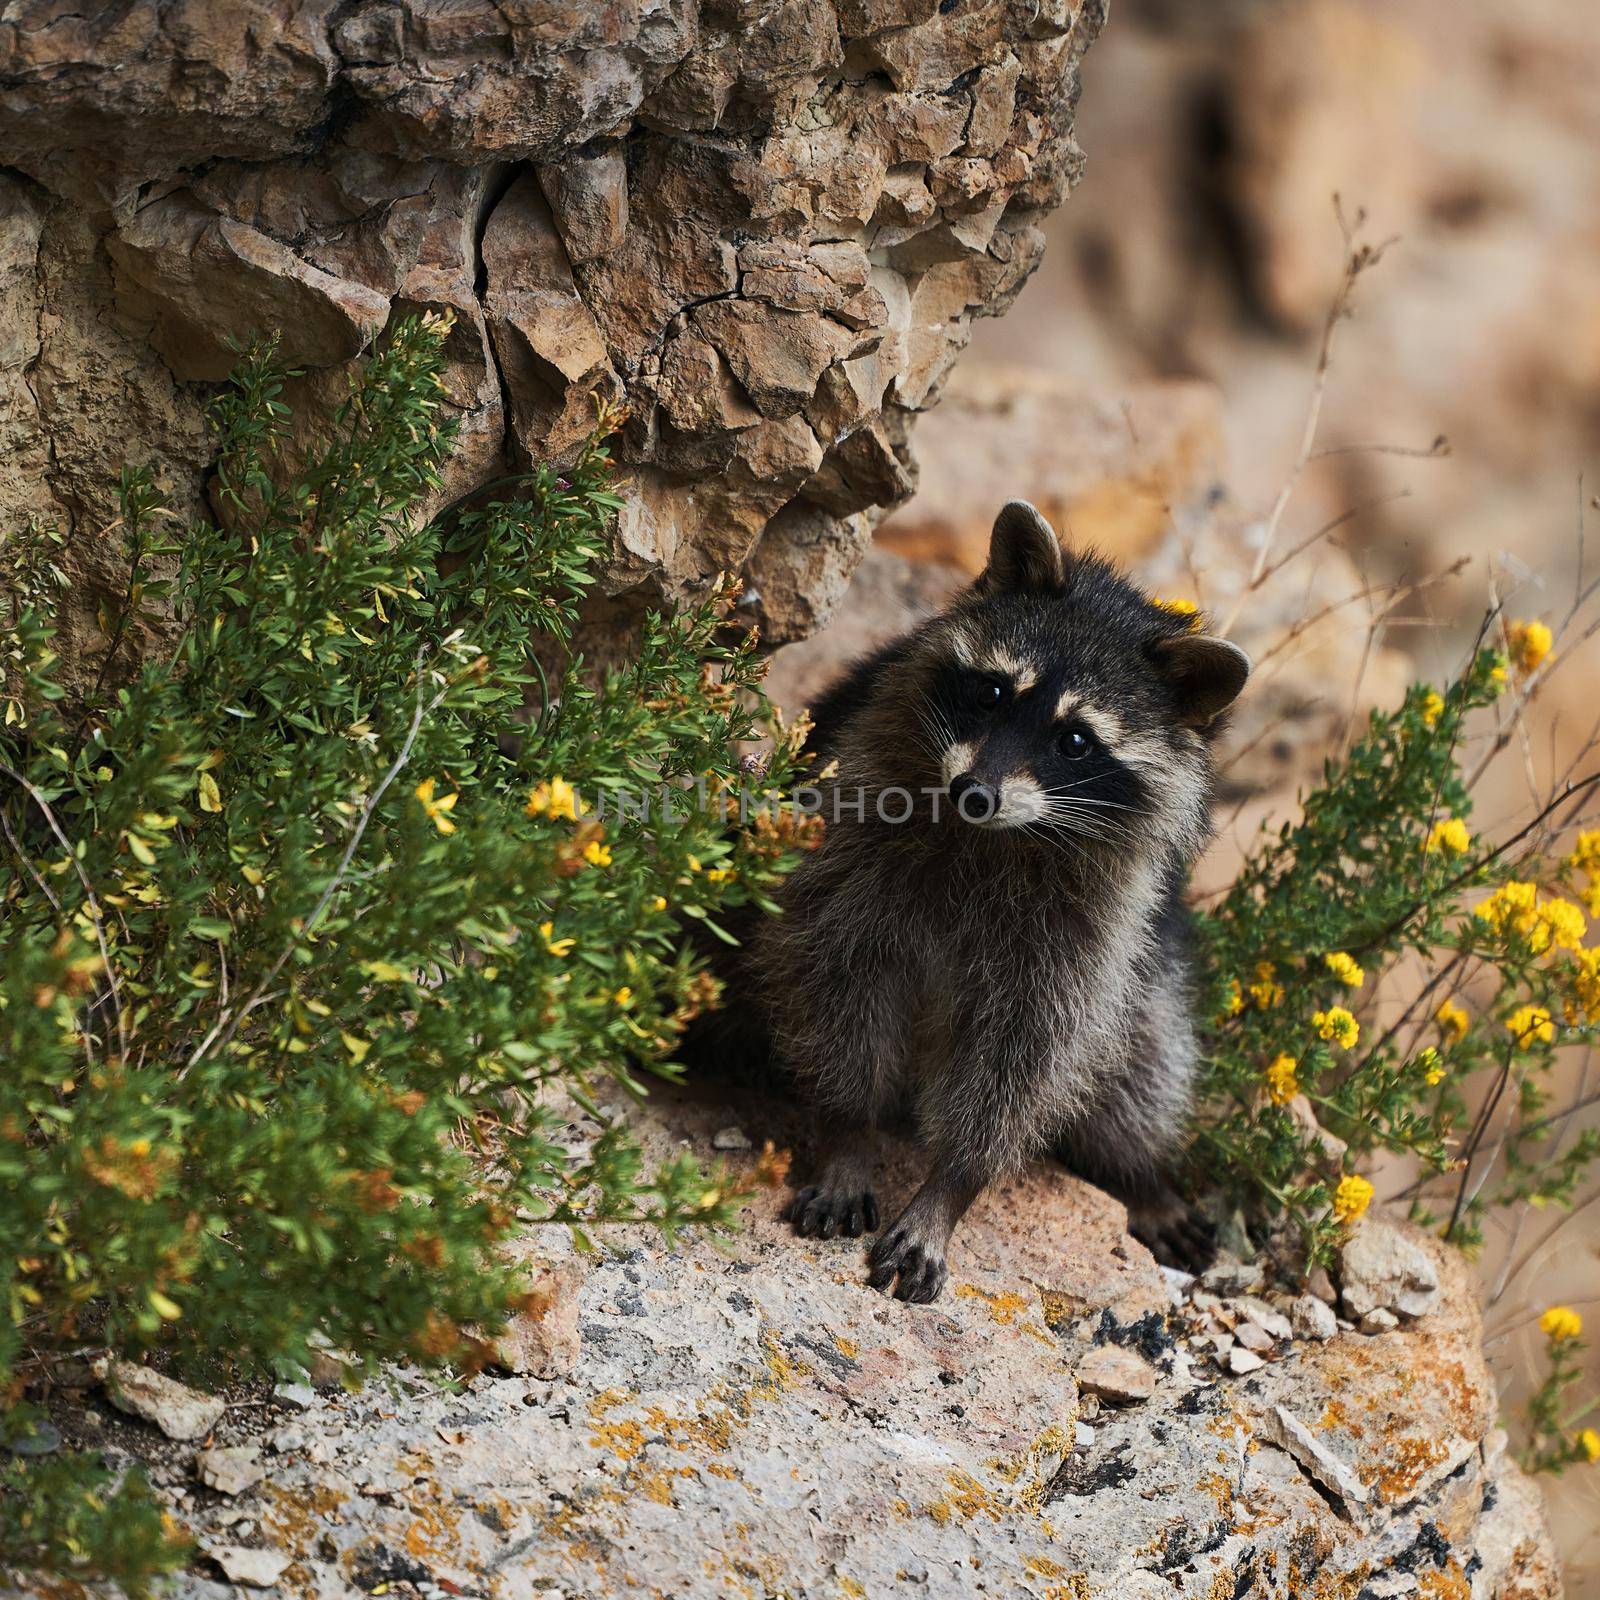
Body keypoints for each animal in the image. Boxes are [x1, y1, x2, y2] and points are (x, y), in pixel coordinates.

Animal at [758, 499, 1248, 1299]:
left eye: (1075, 741)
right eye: (991, 692)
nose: (974, 792)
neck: (998, 835)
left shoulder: (1090, 928)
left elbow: (1027, 1057)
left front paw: (951, 1187)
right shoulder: (851, 839)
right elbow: (839, 979)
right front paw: (848, 1133)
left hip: (1147, 968)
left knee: (1146, 1053)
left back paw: (1138, 1172)